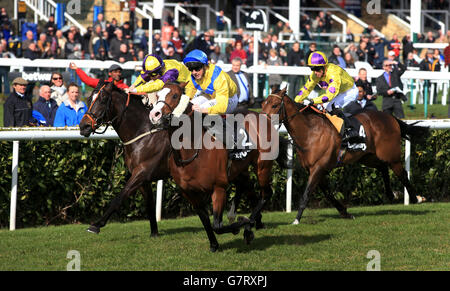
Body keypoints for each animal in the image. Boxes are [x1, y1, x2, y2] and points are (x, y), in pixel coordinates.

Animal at [148, 83, 282, 252]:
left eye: (174, 95)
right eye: (157, 95)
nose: (155, 114)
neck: (192, 152)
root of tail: (264, 116)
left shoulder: (218, 187)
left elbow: (217, 225)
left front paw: (240, 226)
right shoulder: (189, 193)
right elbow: (205, 220)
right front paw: (214, 244)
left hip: (262, 165)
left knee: (266, 194)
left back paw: (249, 224)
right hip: (240, 169)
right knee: (248, 188)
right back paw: (251, 222)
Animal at [262, 89, 430, 226]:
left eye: (275, 105)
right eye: (263, 104)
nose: (263, 123)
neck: (310, 132)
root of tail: (391, 117)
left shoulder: (318, 168)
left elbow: (307, 194)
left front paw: (296, 219)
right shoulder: (315, 169)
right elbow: (328, 194)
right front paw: (345, 213)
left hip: (392, 156)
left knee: (402, 174)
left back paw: (416, 198)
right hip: (367, 156)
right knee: (383, 167)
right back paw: (391, 194)